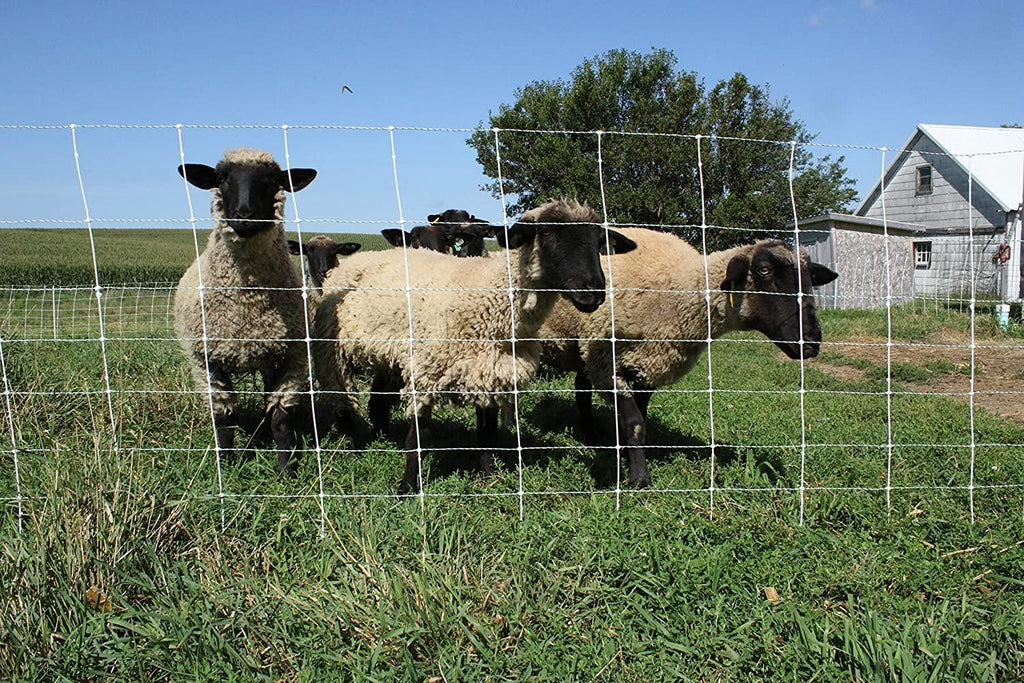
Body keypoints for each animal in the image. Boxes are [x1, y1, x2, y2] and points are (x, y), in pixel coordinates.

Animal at [174, 147, 317, 476]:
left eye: (271, 180)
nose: (244, 216)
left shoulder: (292, 357)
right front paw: (226, 465)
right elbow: (224, 419)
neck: (248, 299)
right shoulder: (206, 361)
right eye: (222, 179)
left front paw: (285, 470)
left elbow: (280, 420)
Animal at [313, 199, 637, 493]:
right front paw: (407, 487)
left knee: (378, 399)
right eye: (545, 232)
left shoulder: (490, 371)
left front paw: (489, 477)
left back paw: (380, 435)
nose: (593, 292)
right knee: (341, 397)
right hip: (332, 350)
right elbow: (418, 437)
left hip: (391, 354)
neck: (487, 294)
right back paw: (350, 445)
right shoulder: (427, 372)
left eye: (599, 242)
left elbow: (488, 432)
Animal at [538, 229, 839, 489]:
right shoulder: (606, 365)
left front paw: (626, 455)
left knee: (581, 387)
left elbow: (640, 418)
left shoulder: (651, 364)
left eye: (810, 277)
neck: (677, 290)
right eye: (764, 270)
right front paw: (639, 479)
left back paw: (591, 435)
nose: (811, 342)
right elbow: (635, 423)